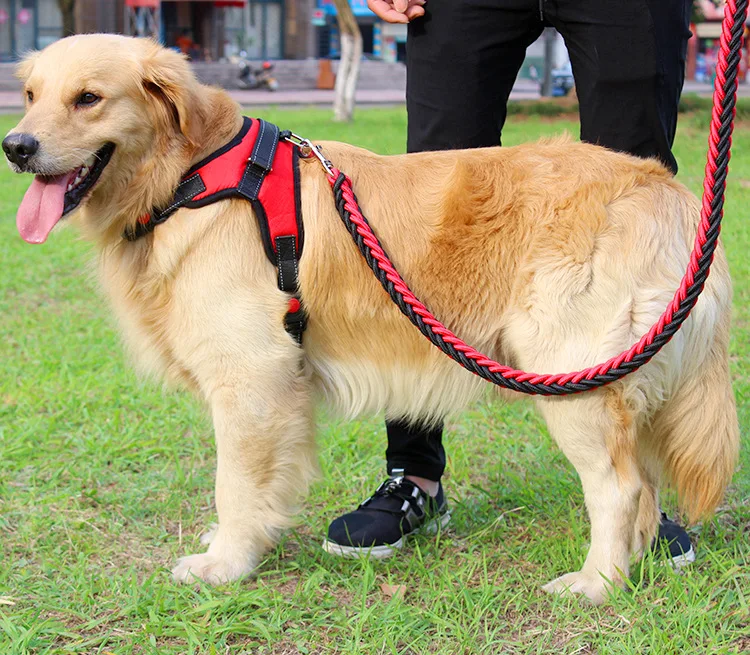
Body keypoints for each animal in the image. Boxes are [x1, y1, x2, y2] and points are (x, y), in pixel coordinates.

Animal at [2, 32, 744, 604]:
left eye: (89, 98)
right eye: (31, 93)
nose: (17, 145)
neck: (190, 176)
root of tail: (668, 190)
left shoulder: (252, 377)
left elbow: (233, 484)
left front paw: (225, 564)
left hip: (574, 377)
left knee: (620, 487)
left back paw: (597, 582)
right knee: (642, 482)